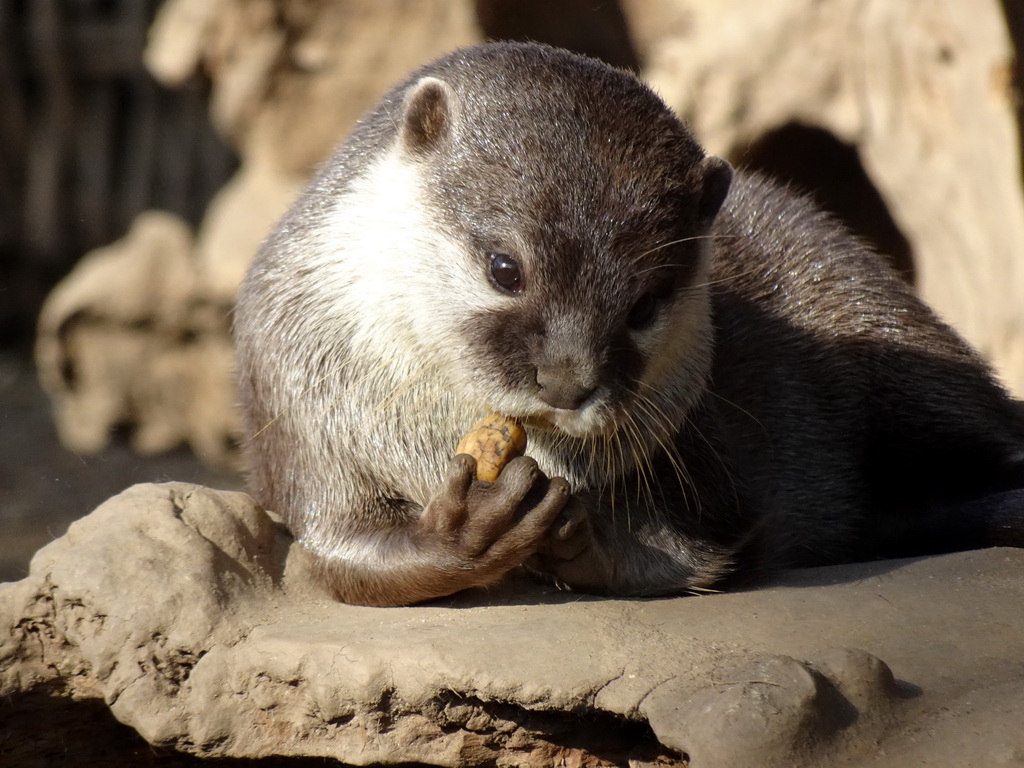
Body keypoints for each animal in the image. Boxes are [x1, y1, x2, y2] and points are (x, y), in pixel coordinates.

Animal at [232, 40, 1024, 606]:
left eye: (646, 304)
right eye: (504, 268)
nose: (567, 379)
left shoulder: (710, 457)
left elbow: (710, 550)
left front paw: (587, 537)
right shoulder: (294, 402)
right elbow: (339, 555)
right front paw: (464, 533)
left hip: (892, 340)